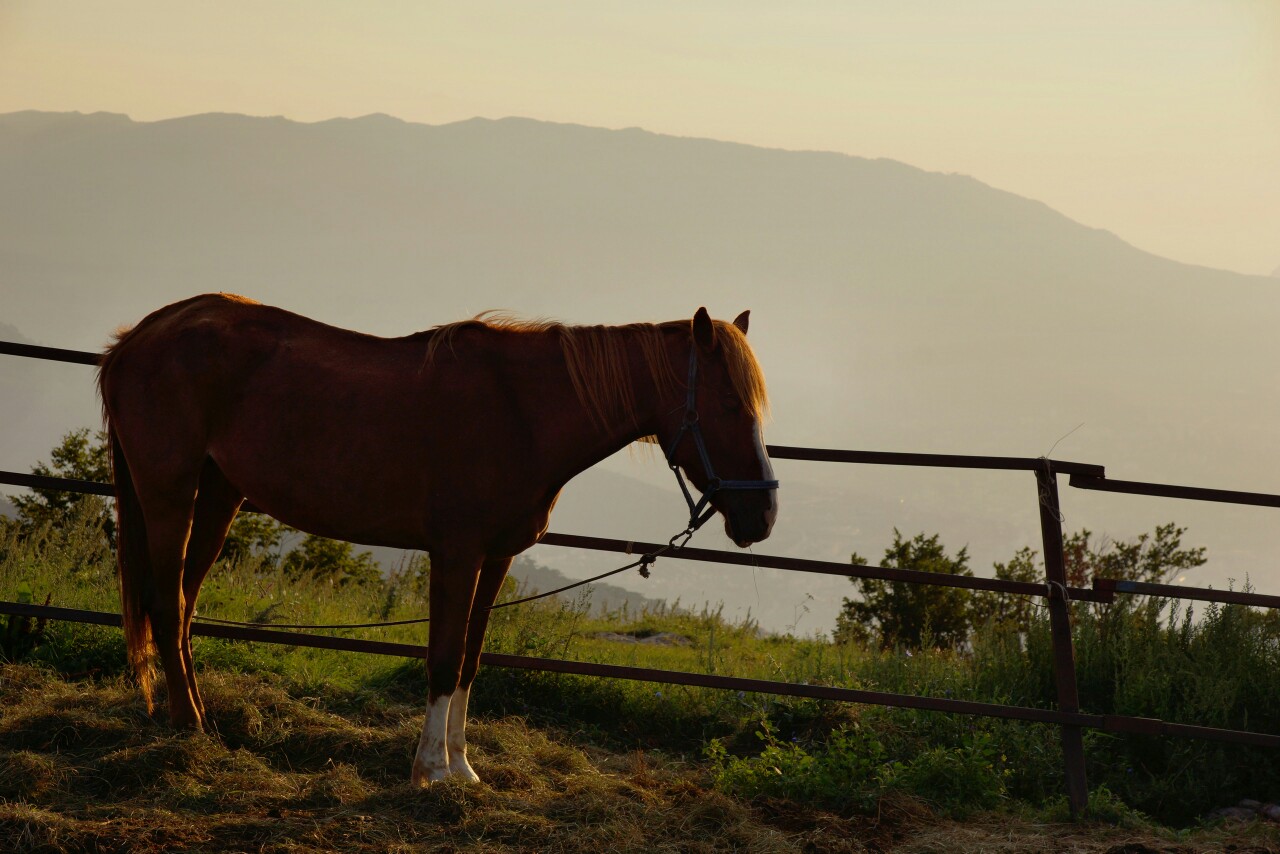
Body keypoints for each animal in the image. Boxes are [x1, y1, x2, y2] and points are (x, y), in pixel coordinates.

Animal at [94, 295, 773, 788]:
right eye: (729, 404)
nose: (762, 516)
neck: (522, 411)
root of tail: (139, 338)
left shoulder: (496, 557)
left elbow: (470, 660)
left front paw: (464, 768)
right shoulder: (457, 554)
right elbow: (443, 658)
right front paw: (431, 771)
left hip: (218, 496)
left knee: (182, 605)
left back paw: (195, 716)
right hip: (170, 495)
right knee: (164, 602)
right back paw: (188, 726)